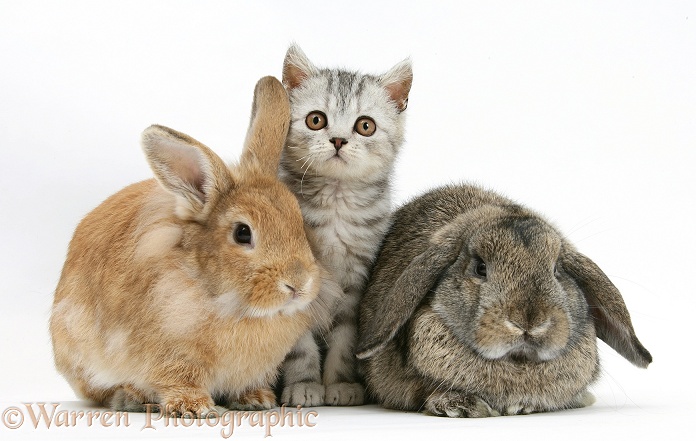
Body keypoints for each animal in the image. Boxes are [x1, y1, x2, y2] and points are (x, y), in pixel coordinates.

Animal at [278, 44, 410, 406]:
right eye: (316, 120)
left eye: (365, 126)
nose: (338, 140)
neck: (335, 202)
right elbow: (300, 345)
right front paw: (305, 384)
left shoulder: (357, 281)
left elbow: (347, 337)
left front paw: (341, 384)